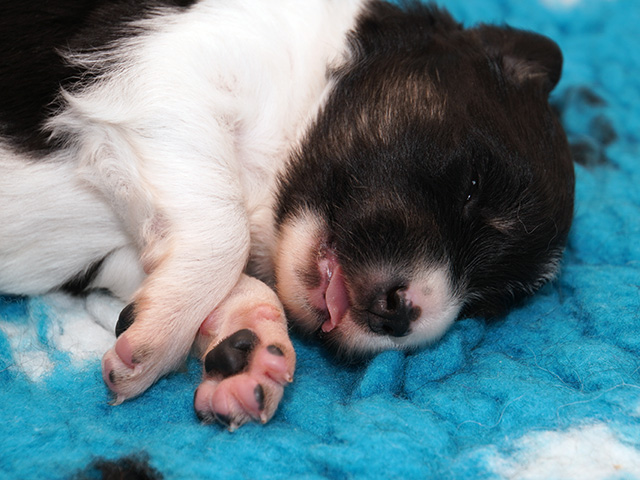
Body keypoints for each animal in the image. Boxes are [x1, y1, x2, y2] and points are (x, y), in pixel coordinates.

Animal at [0, 0, 574, 430]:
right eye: (473, 186)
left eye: (487, 303)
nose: (401, 316)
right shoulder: (160, 74)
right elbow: (224, 230)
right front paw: (162, 336)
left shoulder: (124, 243)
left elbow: (207, 270)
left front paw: (244, 347)